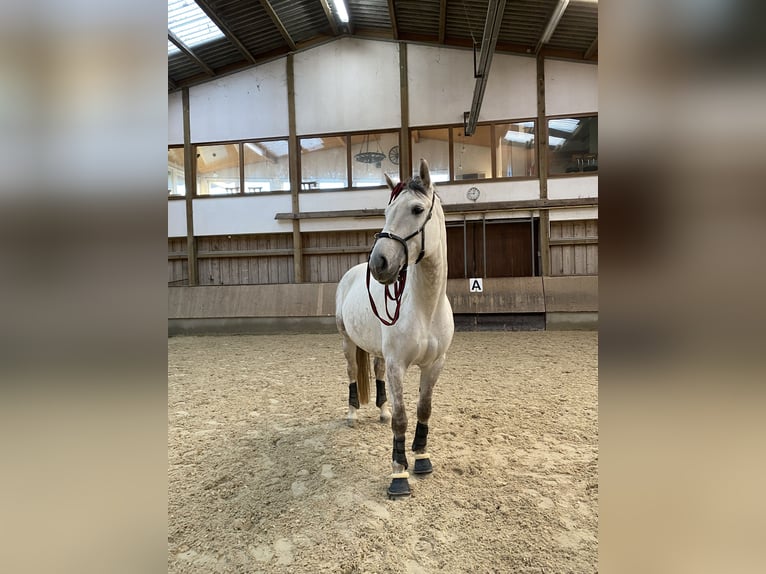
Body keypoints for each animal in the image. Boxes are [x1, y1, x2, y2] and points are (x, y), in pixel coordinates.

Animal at [336, 158, 456, 500]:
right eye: (387, 211)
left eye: (417, 209)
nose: (379, 264)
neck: (425, 307)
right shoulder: (397, 366)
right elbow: (402, 419)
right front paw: (399, 474)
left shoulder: (435, 364)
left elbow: (424, 409)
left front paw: (422, 458)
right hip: (347, 342)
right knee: (353, 374)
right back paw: (352, 414)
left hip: (377, 352)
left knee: (375, 373)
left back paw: (381, 410)